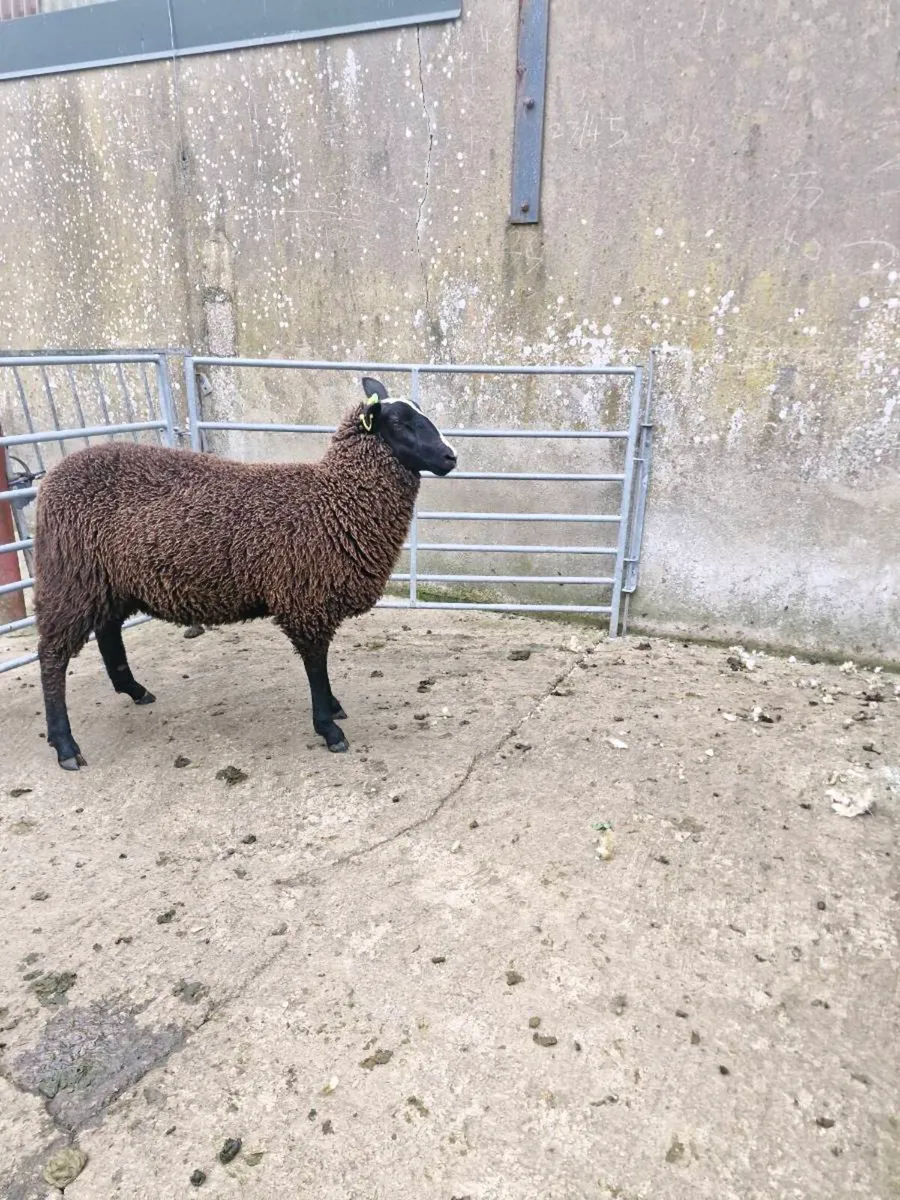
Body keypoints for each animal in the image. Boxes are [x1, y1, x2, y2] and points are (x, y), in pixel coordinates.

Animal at [33, 376, 457, 770]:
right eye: (399, 422)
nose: (450, 457)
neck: (334, 501)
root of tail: (53, 477)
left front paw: (333, 708)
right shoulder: (305, 598)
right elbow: (316, 665)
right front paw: (329, 726)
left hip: (107, 580)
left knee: (107, 632)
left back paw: (134, 690)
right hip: (69, 576)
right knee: (52, 655)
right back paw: (65, 746)